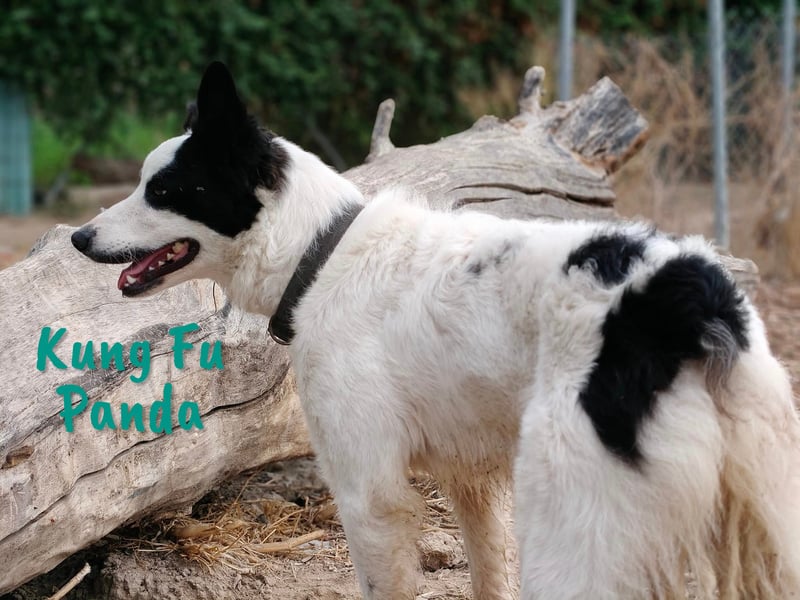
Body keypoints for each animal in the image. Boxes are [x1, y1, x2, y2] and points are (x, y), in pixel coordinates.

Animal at [73, 63, 800, 596]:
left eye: (164, 192)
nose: (80, 237)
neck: (322, 253)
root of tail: (686, 295)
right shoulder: (472, 487)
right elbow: (488, 577)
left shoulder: (369, 496)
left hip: (569, 525)